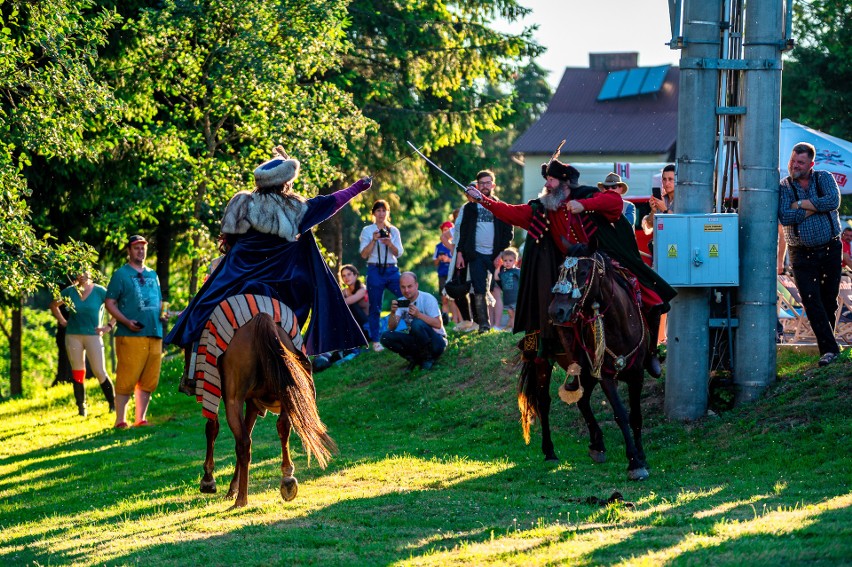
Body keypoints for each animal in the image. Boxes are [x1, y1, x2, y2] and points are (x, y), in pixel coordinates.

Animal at [200, 312, 336, 508]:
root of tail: (262, 320)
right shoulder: (253, 402)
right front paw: (232, 487)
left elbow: (212, 427)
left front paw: (209, 481)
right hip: (287, 390)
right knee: (282, 427)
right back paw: (287, 480)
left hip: (233, 399)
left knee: (243, 442)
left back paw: (242, 499)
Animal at [516, 251, 648, 482]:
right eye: (560, 271)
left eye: (584, 272)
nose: (556, 312)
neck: (620, 326)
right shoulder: (605, 376)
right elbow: (620, 414)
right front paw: (634, 463)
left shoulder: (636, 374)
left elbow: (636, 416)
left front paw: (641, 456)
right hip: (543, 362)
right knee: (544, 402)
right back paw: (550, 451)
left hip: (585, 371)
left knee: (583, 401)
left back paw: (597, 445)